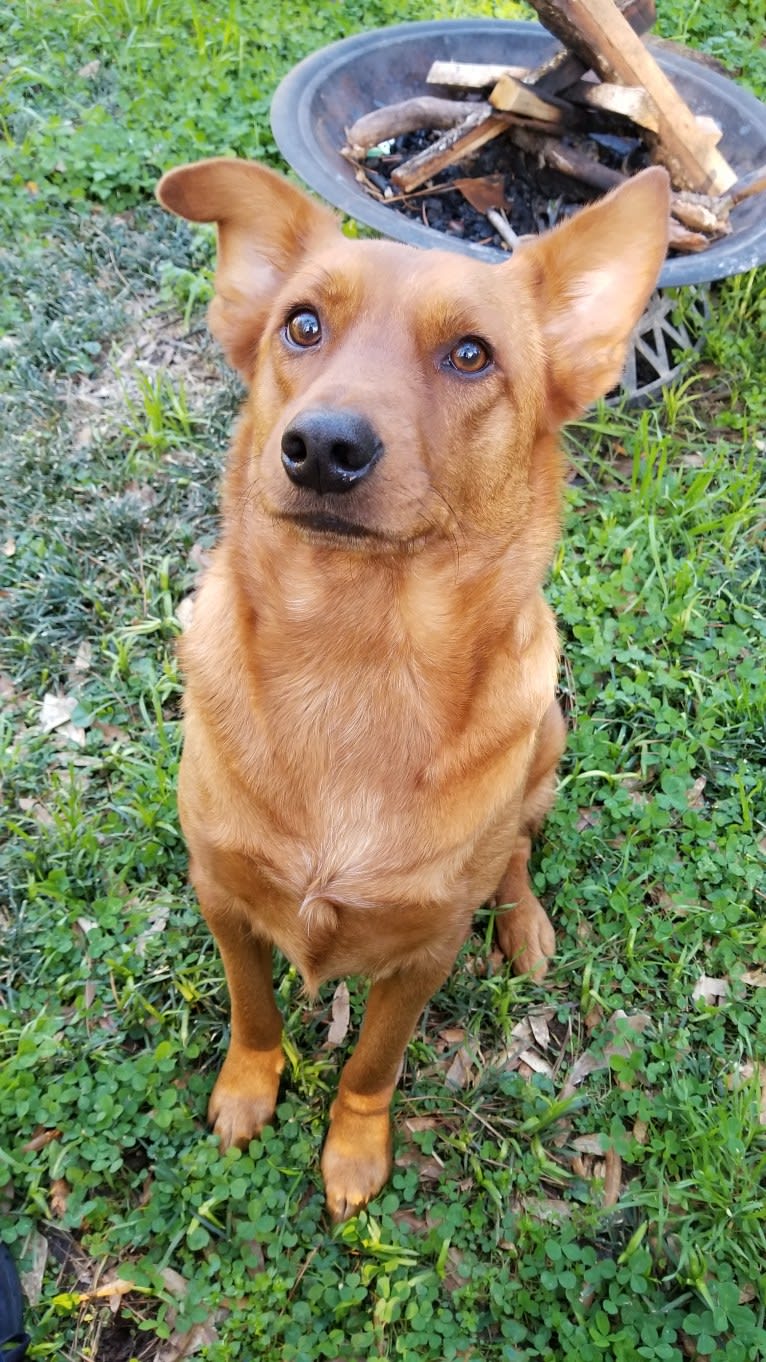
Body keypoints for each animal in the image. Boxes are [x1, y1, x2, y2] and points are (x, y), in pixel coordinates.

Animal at [156, 162, 667, 1225]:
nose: (323, 446)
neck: (351, 658)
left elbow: (372, 1066)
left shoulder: (425, 954)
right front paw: (248, 1089)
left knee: (517, 848)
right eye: (302, 326)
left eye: (471, 354)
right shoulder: (221, 895)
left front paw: (353, 1149)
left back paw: (523, 922)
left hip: (546, 740)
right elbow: (253, 1010)